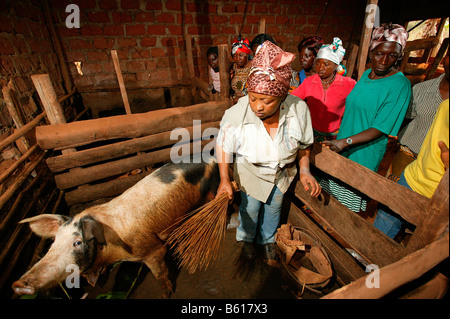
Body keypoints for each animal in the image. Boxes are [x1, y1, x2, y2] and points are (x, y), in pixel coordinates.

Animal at [12, 161, 220, 298]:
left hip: (212, 189)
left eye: (77, 242)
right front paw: (101, 281)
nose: (18, 283)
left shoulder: (153, 250)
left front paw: (166, 295)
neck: (111, 254)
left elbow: (160, 273)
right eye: (54, 242)